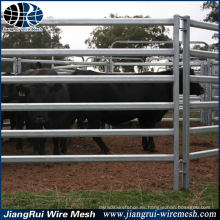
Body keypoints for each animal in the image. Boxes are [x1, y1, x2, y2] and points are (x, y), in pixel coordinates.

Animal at [69, 68, 205, 153]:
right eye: (190, 78)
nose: (202, 89)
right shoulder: (151, 115)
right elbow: (150, 129)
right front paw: (152, 147)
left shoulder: (142, 114)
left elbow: (144, 129)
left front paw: (145, 146)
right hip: (93, 115)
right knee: (94, 133)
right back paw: (107, 149)